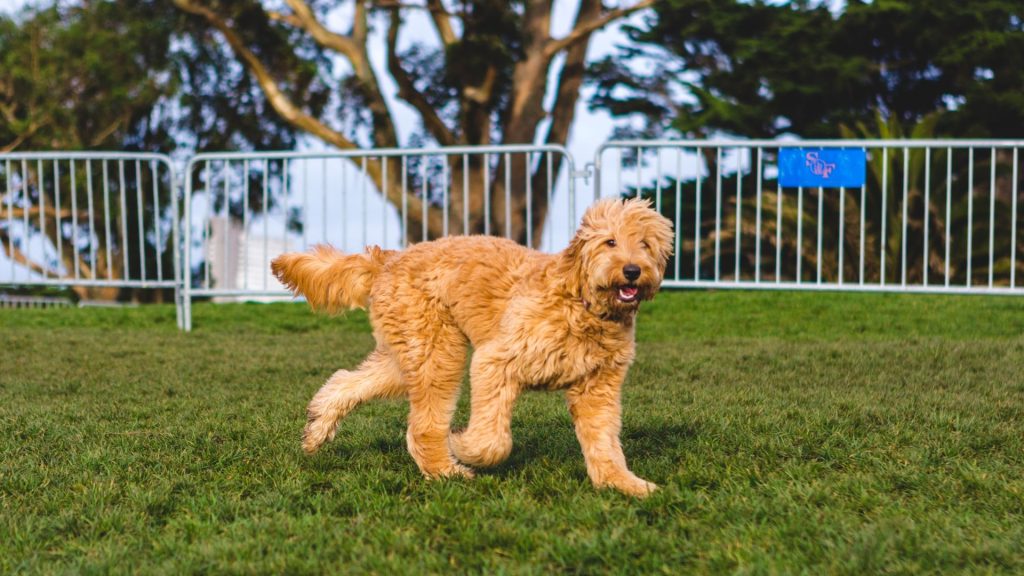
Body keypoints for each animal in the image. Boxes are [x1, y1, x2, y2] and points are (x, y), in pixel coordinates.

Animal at [268, 195, 675, 494]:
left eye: (645, 244)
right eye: (610, 242)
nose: (633, 271)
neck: (582, 303)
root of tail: (392, 258)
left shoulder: (598, 389)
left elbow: (605, 442)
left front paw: (623, 484)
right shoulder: (495, 362)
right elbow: (494, 442)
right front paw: (463, 445)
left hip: (407, 354)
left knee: (348, 381)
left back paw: (318, 426)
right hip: (438, 352)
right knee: (422, 428)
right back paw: (447, 470)